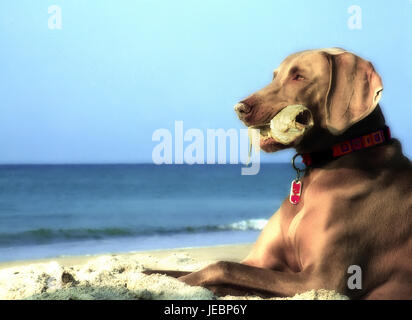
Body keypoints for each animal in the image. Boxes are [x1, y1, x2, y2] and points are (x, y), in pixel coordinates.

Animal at [146, 48, 410, 300]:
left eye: (298, 76)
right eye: (274, 76)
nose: (239, 108)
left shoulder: (323, 280)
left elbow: (222, 266)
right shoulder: (260, 262)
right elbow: (181, 270)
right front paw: (150, 273)